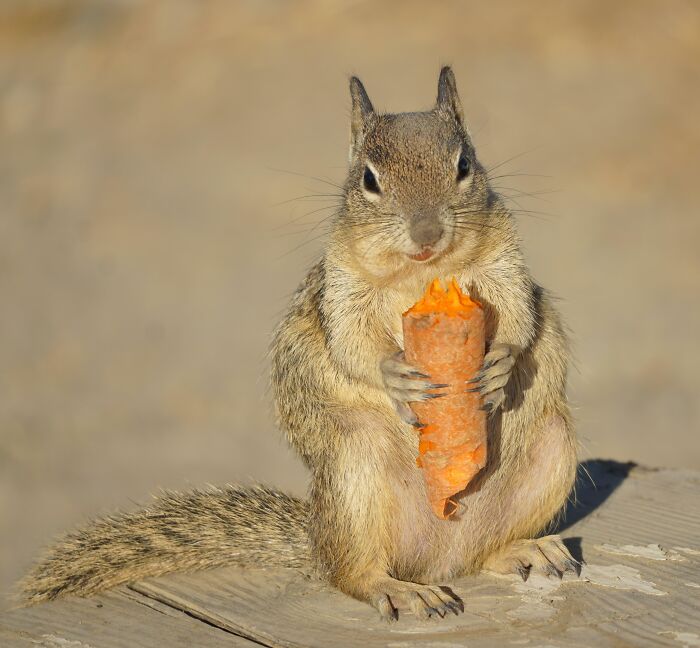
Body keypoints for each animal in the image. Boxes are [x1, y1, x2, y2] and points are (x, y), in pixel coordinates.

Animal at [21, 68, 580, 620]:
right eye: (368, 179)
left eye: (463, 164)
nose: (427, 232)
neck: (424, 273)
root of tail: (438, 555)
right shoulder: (341, 288)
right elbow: (352, 344)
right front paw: (394, 374)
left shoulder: (504, 266)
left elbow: (519, 316)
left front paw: (501, 363)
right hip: (354, 478)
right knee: (351, 577)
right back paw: (399, 589)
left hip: (552, 452)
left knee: (483, 552)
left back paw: (524, 549)